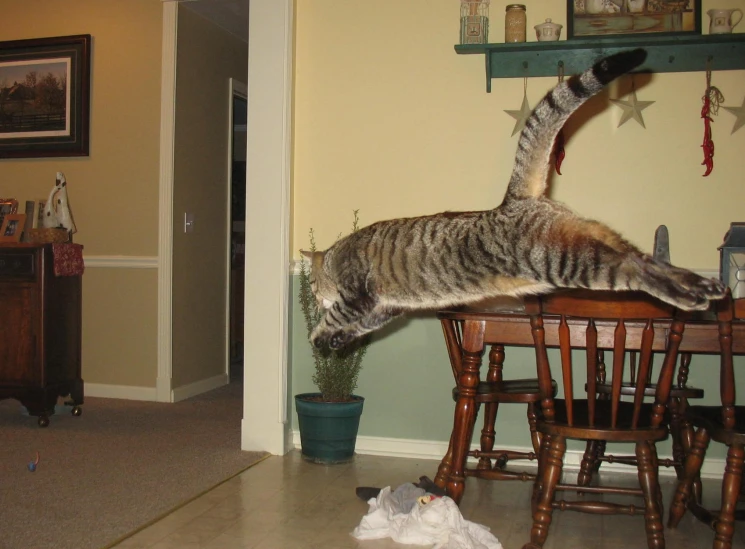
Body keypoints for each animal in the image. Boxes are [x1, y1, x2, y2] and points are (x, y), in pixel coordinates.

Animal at [300, 49, 724, 348]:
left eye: (312, 286)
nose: (312, 296)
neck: (339, 255)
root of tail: (513, 201)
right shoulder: (386, 307)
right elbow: (358, 325)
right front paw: (335, 338)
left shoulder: (359, 293)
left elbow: (340, 315)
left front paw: (319, 334)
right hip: (593, 234)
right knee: (646, 258)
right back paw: (705, 287)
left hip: (568, 262)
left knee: (634, 267)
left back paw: (687, 297)